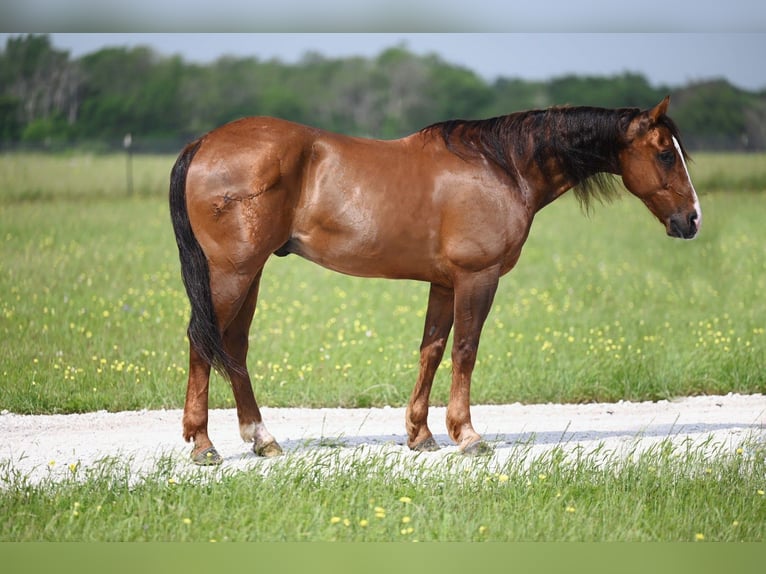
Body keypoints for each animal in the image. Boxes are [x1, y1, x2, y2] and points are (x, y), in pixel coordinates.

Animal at [171, 93, 704, 464]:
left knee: (233, 345)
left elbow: (432, 349)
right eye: (665, 154)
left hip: (252, 272)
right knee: (202, 340)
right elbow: (465, 350)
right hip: (232, 273)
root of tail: (203, 143)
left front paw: (421, 435)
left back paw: (263, 439)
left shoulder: (444, 283)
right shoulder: (476, 278)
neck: (503, 166)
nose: (692, 220)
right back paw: (203, 445)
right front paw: (468, 436)